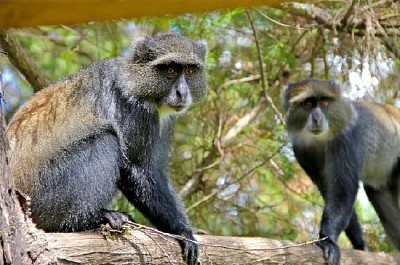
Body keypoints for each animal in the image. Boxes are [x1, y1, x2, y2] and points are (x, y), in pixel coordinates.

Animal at [7, 33, 208, 264]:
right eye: (170, 70)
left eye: (190, 71)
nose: (182, 92)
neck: (135, 80)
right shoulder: (132, 109)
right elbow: (137, 170)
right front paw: (182, 231)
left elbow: (155, 172)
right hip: (42, 199)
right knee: (106, 141)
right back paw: (91, 219)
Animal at [282, 78, 400, 264]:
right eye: (308, 104)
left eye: (324, 103)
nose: (317, 118)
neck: (320, 139)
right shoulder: (302, 151)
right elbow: (328, 191)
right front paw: (359, 244)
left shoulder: (345, 138)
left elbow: (342, 191)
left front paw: (328, 240)